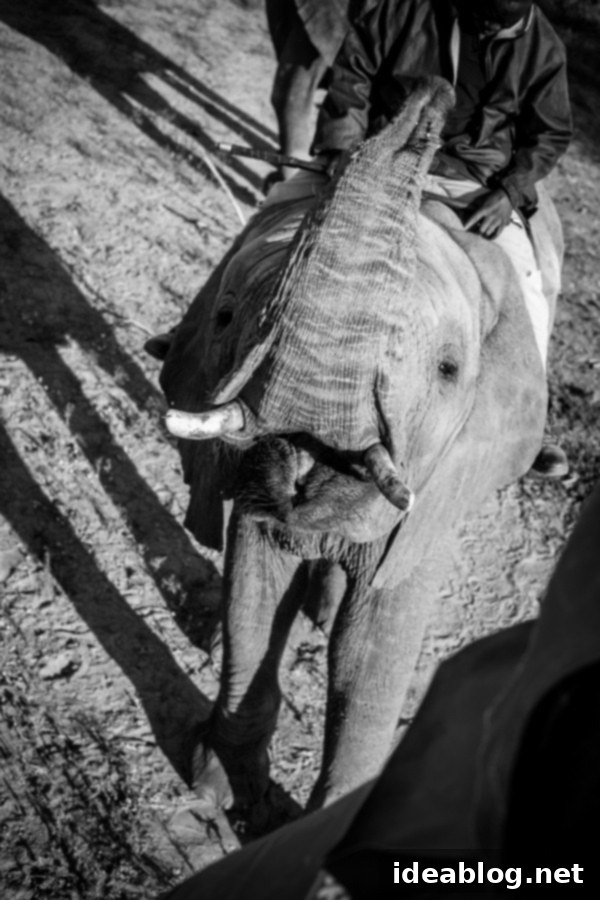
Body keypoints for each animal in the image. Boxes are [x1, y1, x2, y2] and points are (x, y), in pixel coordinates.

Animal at [158, 77, 563, 811]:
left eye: (448, 370)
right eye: (226, 317)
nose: (424, 91)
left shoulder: (442, 478)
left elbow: (374, 638)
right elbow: (257, 582)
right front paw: (216, 791)